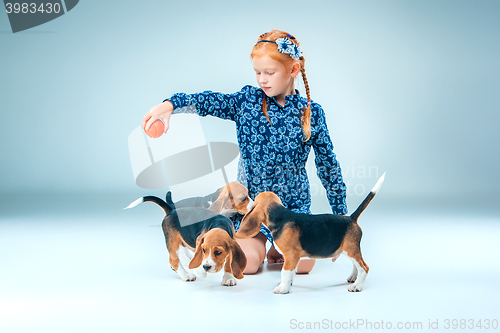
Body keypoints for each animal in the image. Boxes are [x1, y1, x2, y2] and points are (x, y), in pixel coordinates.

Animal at [235, 172, 386, 292]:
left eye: (254, 199)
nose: (247, 202)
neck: (280, 216)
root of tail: (351, 218)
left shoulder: (291, 255)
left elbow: (285, 272)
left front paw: (283, 288)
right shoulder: (293, 258)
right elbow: (291, 273)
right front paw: (287, 284)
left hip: (351, 250)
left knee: (364, 268)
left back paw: (357, 286)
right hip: (350, 251)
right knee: (356, 266)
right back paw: (354, 278)